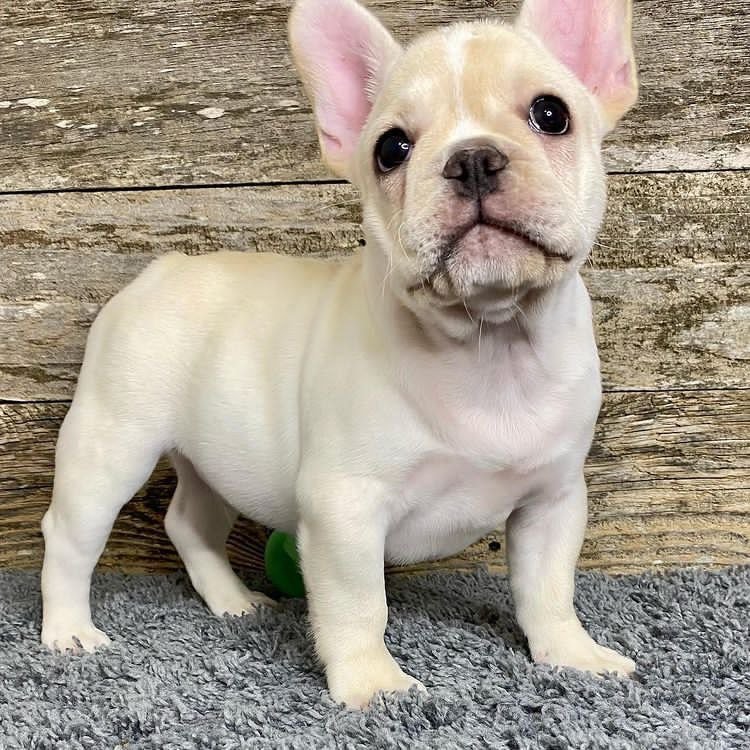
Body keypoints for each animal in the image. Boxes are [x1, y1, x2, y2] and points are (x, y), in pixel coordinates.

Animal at [41, 0, 639, 708]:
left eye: (551, 114)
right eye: (391, 149)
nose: (471, 159)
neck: (489, 342)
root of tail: (163, 269)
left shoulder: (552, 500)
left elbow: (548, 589)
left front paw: (571, 655)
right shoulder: (344, 507)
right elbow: (358, 604)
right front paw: (373, 686)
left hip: (213, 456)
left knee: (190, 523)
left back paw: (233, 600)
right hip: (112, 443)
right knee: (71, 534)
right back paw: (69, 631)